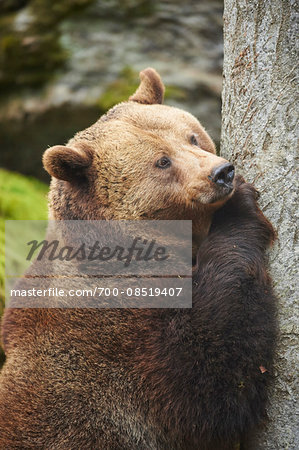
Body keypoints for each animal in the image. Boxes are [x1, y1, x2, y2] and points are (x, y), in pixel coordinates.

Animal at [0, 68, 278, 448]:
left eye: (192, 137)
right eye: (162, 161)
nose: (222, 173)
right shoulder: (117, 331)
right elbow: (207, 379)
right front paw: (239, 209)